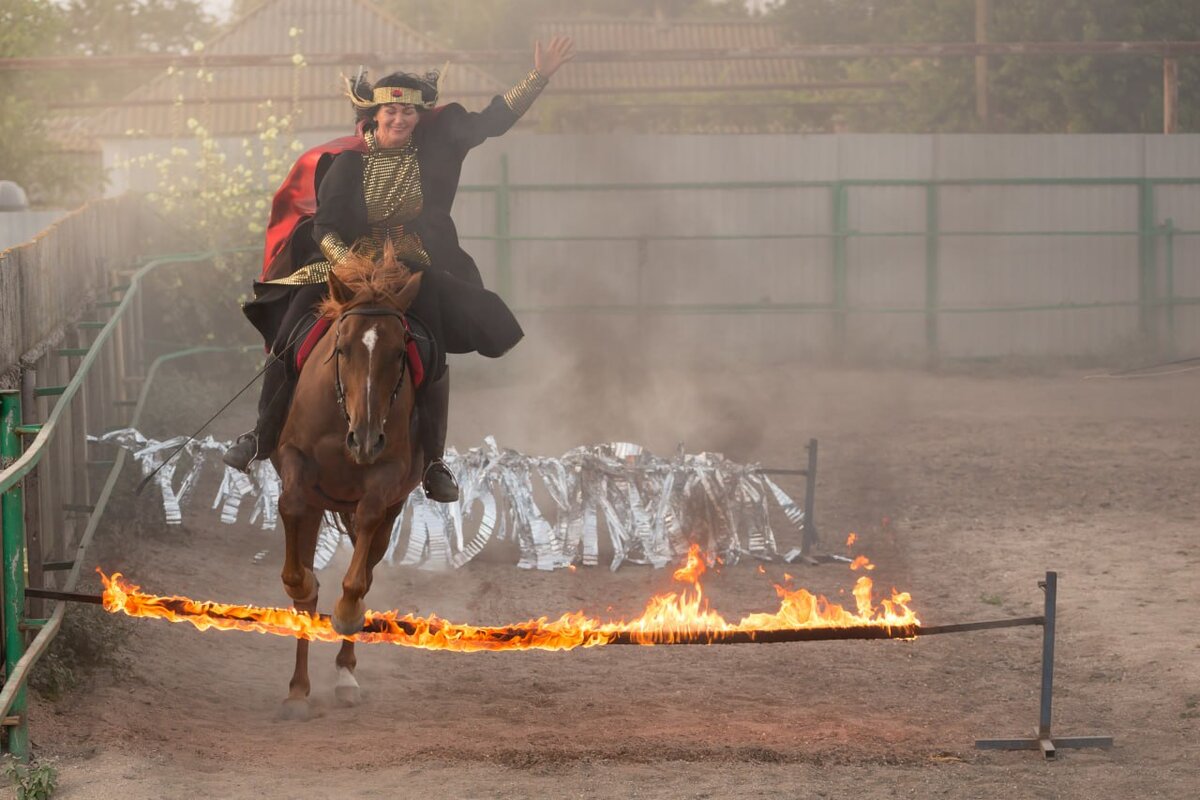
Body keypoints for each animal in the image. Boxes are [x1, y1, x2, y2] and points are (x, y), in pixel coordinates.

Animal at [272, 250, 427, 719]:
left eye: (399, 352)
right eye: (342, 349)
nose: (365, 439)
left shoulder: (388, 477)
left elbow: (358, 575)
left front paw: (346, 611)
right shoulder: (295, 462)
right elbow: (290, 509)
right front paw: (303, 584)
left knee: (368, 565)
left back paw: (344, 675)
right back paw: (298, 690)